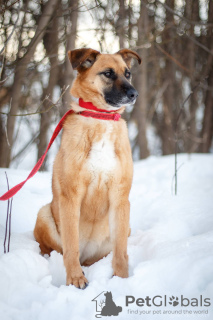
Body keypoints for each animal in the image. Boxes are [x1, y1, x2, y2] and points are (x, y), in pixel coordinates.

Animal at [33, 48, 141, 290]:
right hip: (44, 213)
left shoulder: (121, 198)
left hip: (125, 225)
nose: (134, 94)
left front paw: (122, 280)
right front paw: (75, 279)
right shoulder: (70, 197)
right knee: (54, 249)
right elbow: (71, 247)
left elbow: (121, 252)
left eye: (128, 73)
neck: (101, 118)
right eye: (108, 73)